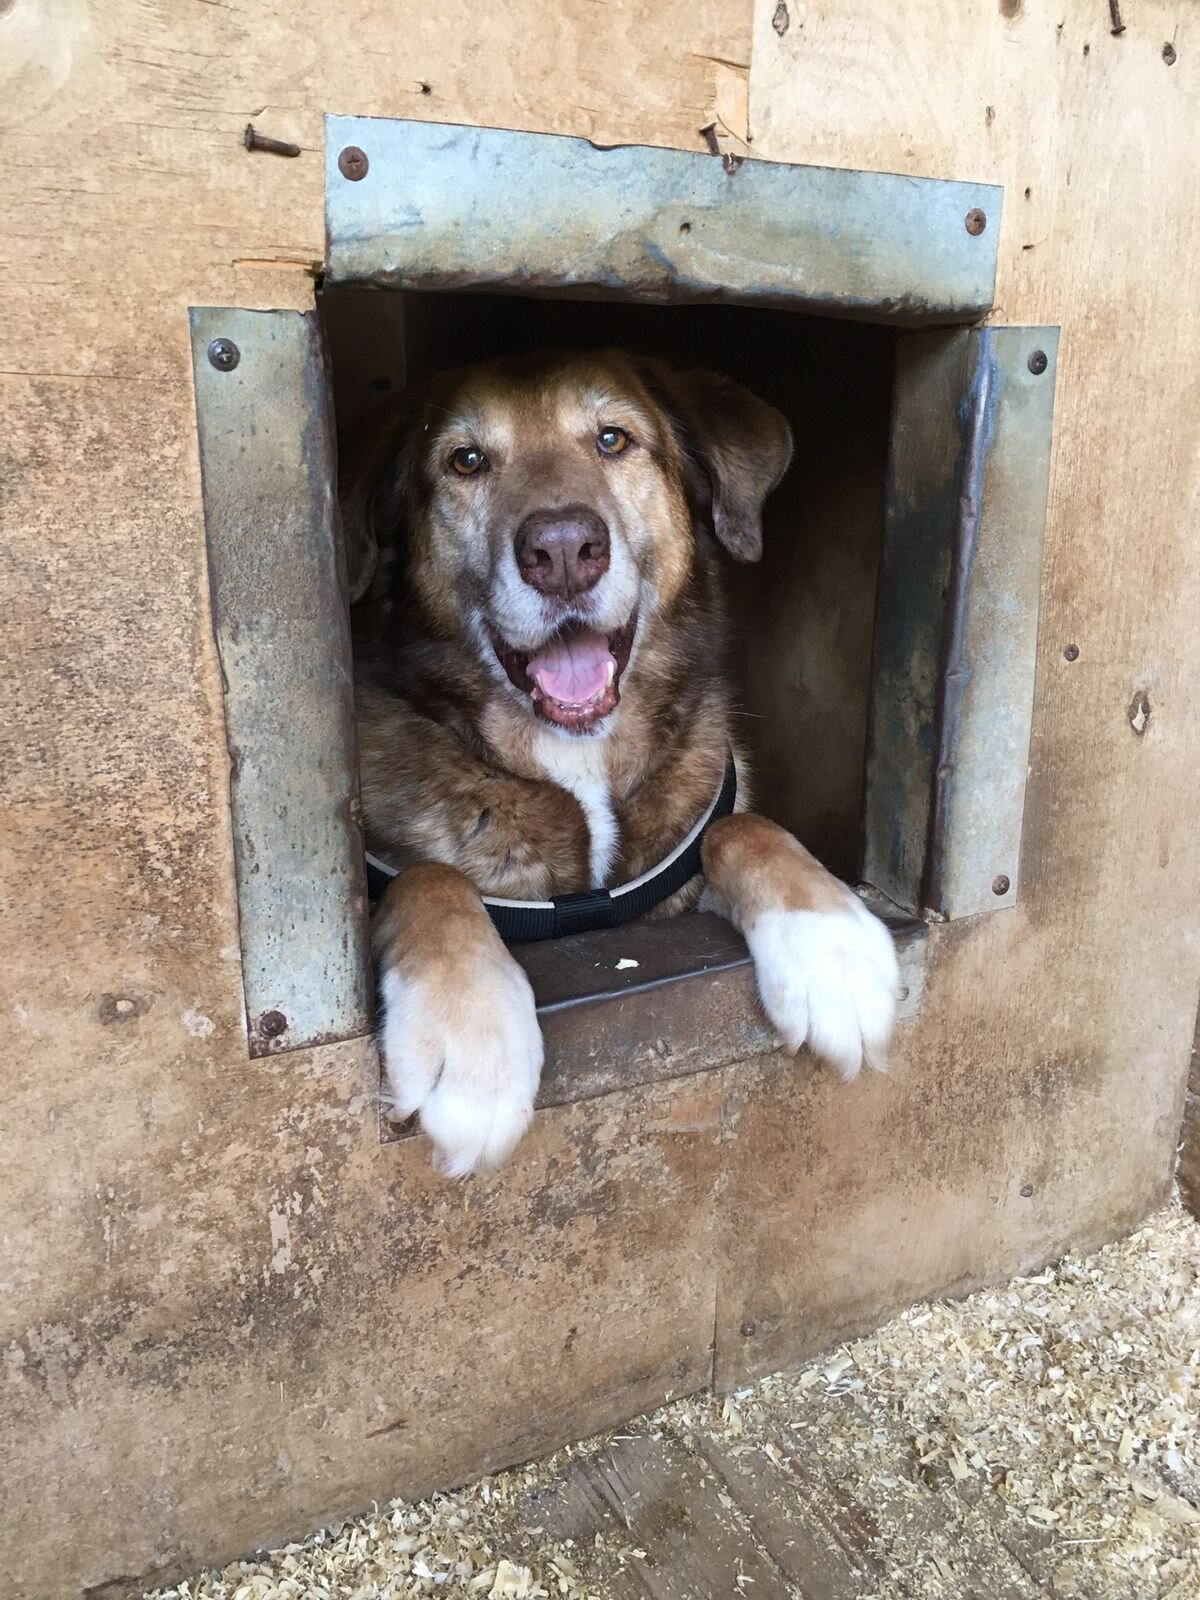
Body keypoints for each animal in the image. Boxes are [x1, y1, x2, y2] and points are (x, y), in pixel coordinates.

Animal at [340, 350, 902, 1177]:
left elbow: (743, 828)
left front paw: (830, 946)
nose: (563, 552)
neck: (580, 760)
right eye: (465, 460)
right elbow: (430, 877)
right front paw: (471, 1042)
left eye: (613, 439)